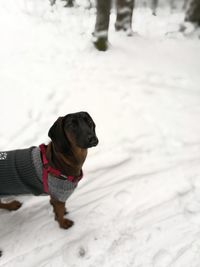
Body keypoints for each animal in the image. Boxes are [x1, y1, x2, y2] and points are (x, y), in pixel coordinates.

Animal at [0, 112, 98, 256]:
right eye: (72, 125)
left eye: (89, 121)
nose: (92, 138)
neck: (59, 160)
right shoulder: (59, 194)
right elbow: (60, 212)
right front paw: (63, 224)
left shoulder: (56, 197)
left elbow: (59, 208)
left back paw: (11, 205)